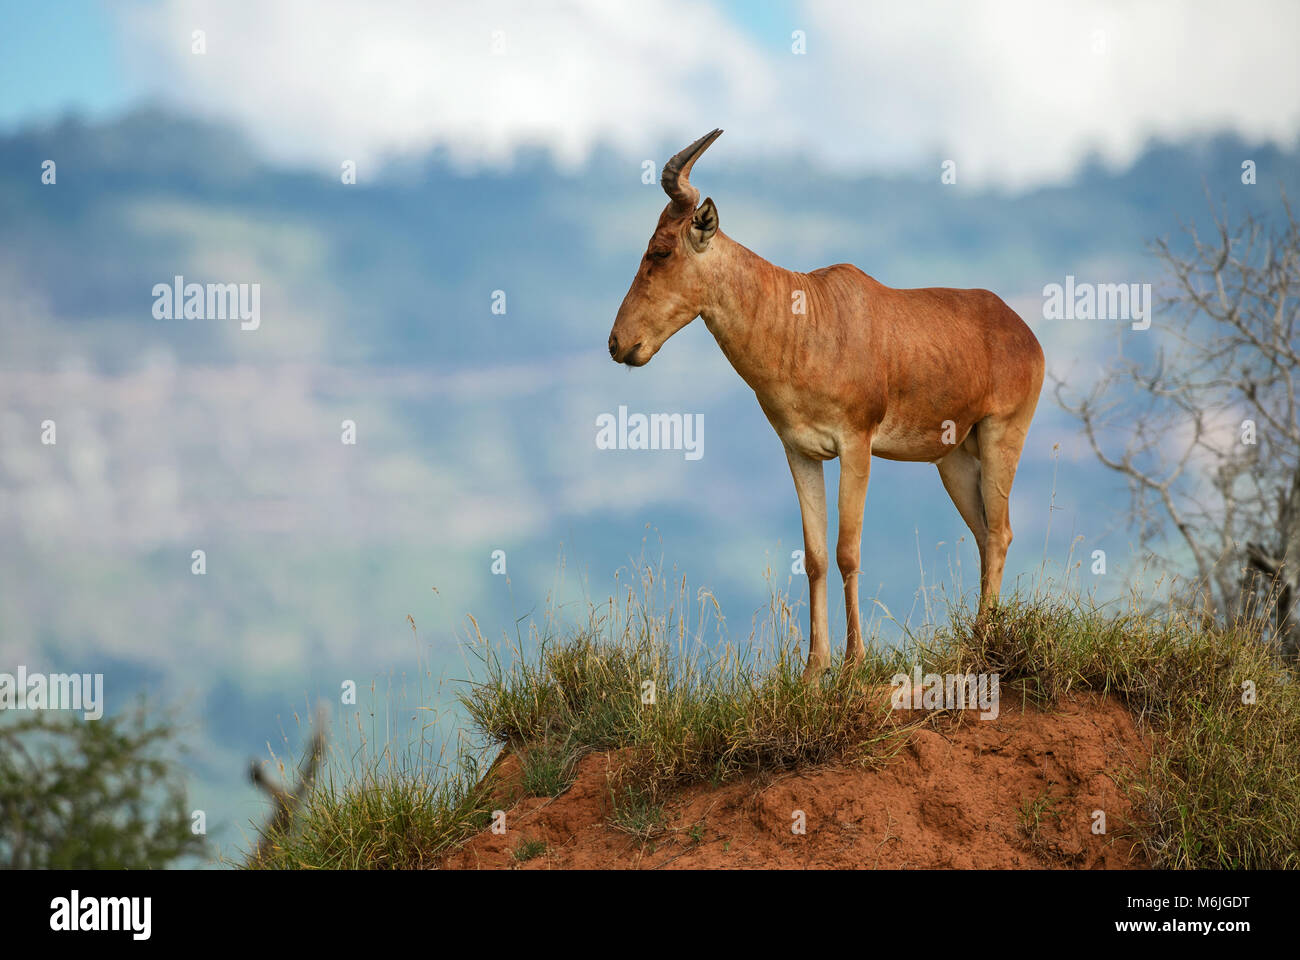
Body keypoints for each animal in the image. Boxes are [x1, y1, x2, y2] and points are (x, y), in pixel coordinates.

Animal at [607, 130, 1045, 681]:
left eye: (661, 251)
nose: (619, 343)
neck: (809, 315)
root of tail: (1021, 330)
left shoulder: (856, 446)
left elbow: (846, 550)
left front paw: (854, 663)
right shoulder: (801, 452)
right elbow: (815, 554)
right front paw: (814, 670)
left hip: (1002, 435)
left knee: (1001, 533)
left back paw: (985, 641)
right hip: (954, 460)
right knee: (985, 533)